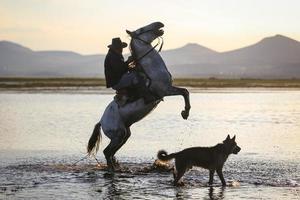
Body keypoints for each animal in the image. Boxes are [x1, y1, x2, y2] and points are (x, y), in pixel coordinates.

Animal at [87, 22, 190, 170]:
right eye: (141, 29)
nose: (159, 23)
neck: (152, 70)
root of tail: (101, 121)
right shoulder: (165, 90)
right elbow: (185, 92)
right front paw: (185, 113)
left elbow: (185, 91)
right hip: (118, 134)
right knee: (107, 152)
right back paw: (114, 169)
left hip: (124, 134)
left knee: (111, 153)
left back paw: (117, 166)